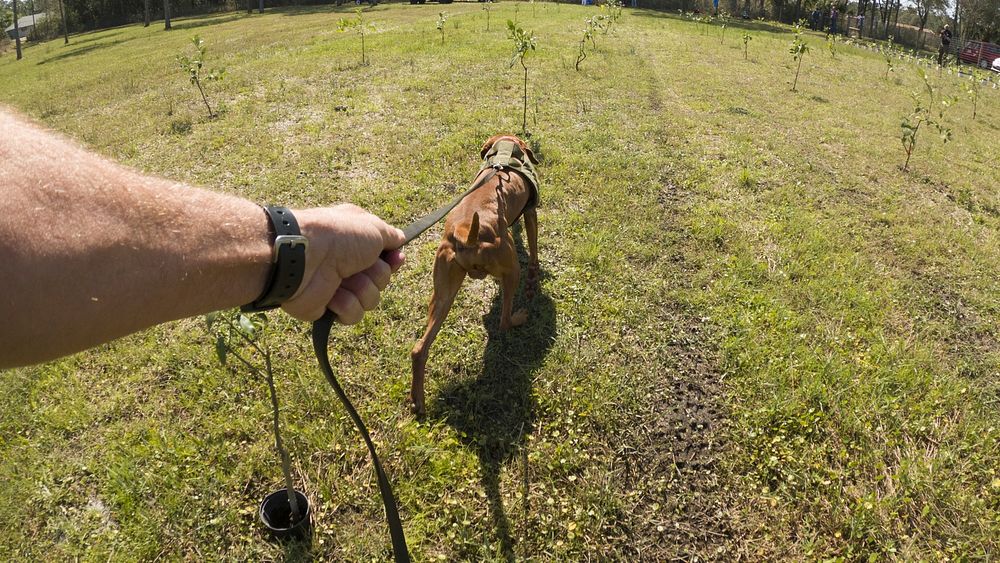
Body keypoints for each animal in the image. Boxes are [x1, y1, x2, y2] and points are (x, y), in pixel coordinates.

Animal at [406, 134, 540, 416]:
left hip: (442, 292)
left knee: (419, 348)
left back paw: (417, 401)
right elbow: (533, 247)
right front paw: (535, 273)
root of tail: (467, 234)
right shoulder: (531, 212)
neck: (505, 153)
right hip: (511, 269)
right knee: (503, 321)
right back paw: (519, 317)